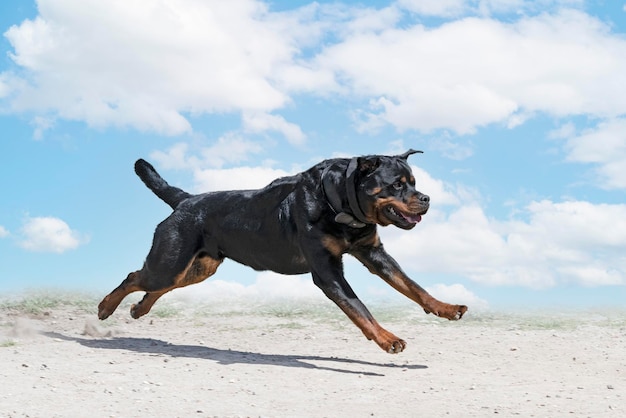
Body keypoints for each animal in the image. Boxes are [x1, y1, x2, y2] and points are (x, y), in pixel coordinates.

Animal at [97, 150, 466, 352]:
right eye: (397, 185)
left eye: (414, 182)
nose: (426, 198)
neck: (341, 206)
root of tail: (186, 200)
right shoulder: (327, 271)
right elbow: (360, 307)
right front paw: (388, 339)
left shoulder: (374, 254)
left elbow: (412, 286)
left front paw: (446, 308)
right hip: (171, 260)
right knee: (136, 276)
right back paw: (105, 308)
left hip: (199, 267)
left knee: (155, 285)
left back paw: (139, 310)